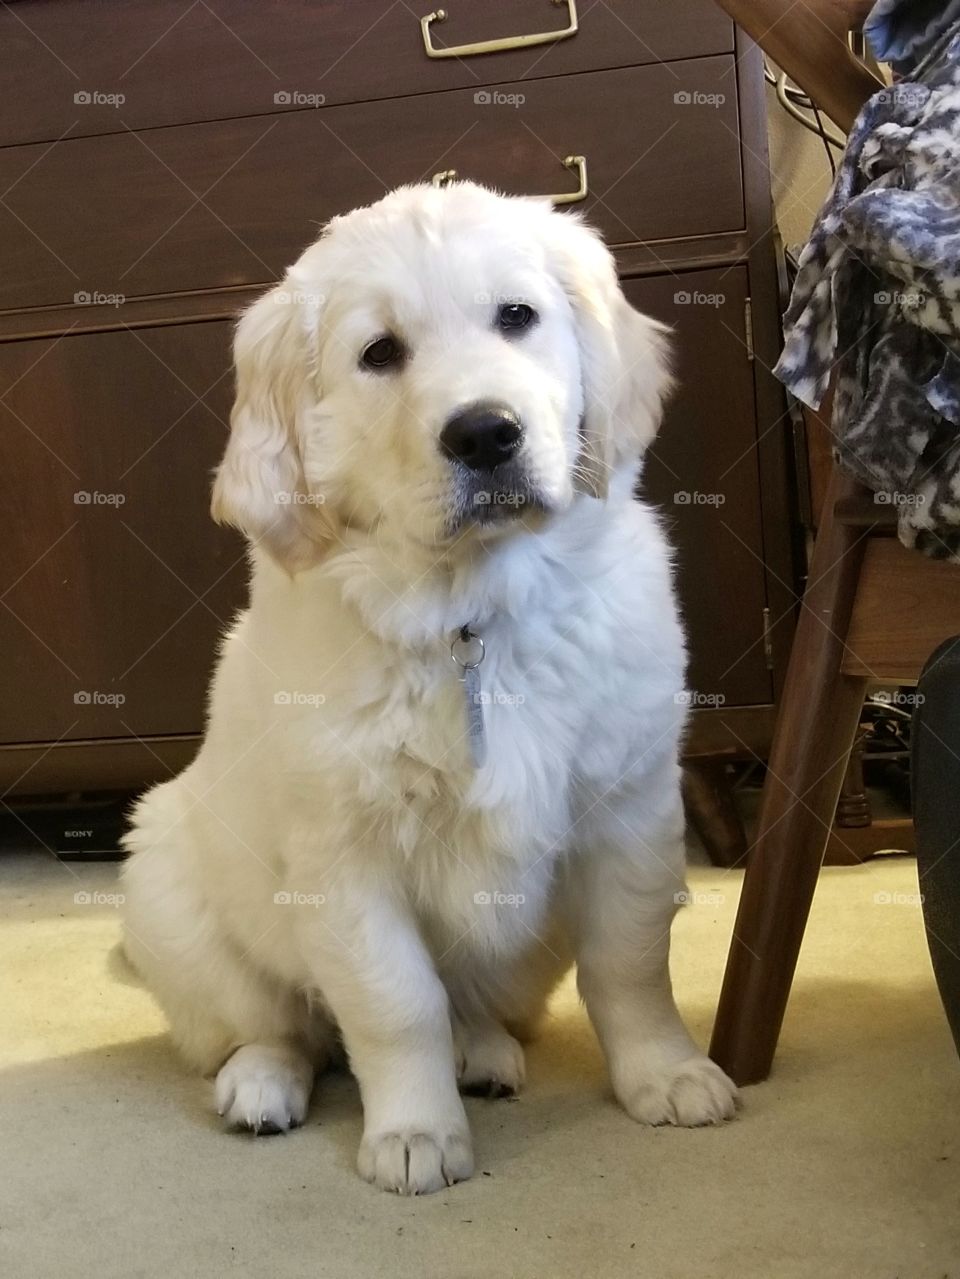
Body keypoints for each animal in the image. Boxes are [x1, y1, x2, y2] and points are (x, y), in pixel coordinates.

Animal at [118, 185, 736, 1192]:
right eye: (380, 352)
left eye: (517, 316)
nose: (485, 432)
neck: (472, 617)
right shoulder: (343, 856)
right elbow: (393, 1001)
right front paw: (415, 1132)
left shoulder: (629, 806)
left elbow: (631, 959)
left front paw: (667, 1072)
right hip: (169, 883)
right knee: (276, 1024)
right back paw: (262, 1082)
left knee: (471, 1003)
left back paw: (481, 1053)